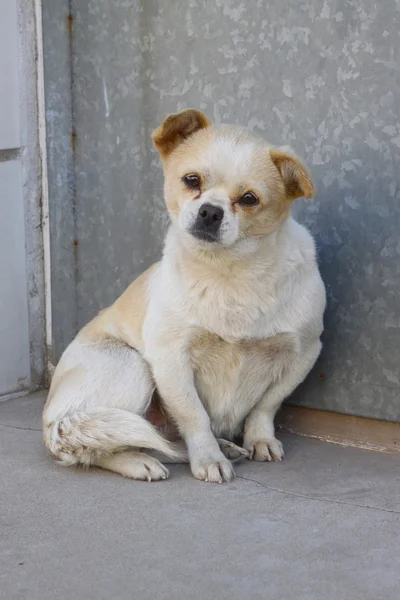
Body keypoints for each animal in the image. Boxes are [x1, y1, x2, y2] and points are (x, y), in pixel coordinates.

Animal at [43, 108, 324, 482]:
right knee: (95, 447)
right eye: (192, 180)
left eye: (249, 199)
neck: (230, 274)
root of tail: (50, 422)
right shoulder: (170, 358)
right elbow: (195, 416)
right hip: (132, 366)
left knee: (154, 441)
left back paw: (223, 447)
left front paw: (259, 439)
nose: (210, 211)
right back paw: (139, 462)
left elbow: (266, 405)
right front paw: (207, 458)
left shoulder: (304, 351)